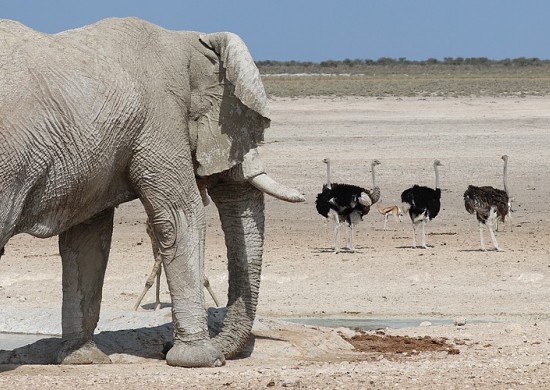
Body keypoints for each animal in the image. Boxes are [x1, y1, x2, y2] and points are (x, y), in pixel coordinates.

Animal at [0, 16, 306, 368]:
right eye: (243, 124)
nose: (162, 346)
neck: (186, 40)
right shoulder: (160, 122)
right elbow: (179, 216)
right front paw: (201, 359)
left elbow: (86, 240)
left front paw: (83, 358)